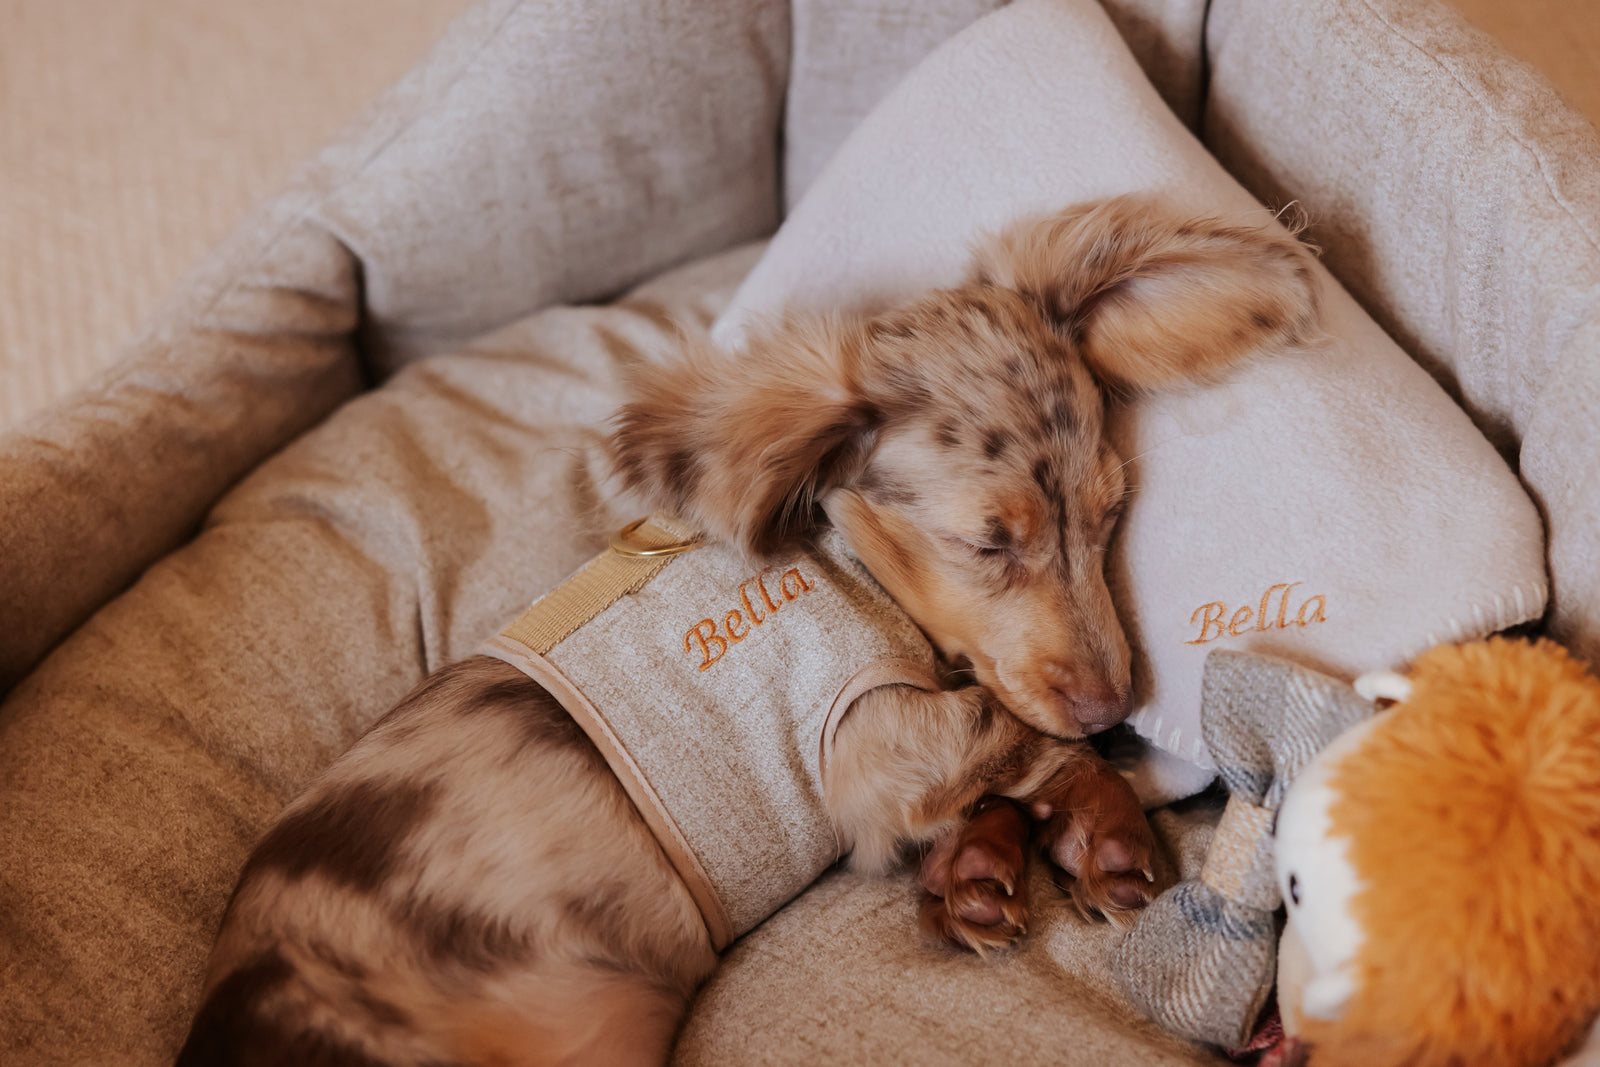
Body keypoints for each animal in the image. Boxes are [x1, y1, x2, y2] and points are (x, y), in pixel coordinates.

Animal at [175, 194, 1319, 1067]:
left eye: (1111, 510)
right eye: (987, 539)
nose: (1116, 703)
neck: (859, 571)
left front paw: (982, 868)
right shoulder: (865, 744)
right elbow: (1012, 731)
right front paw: (1097, 828)